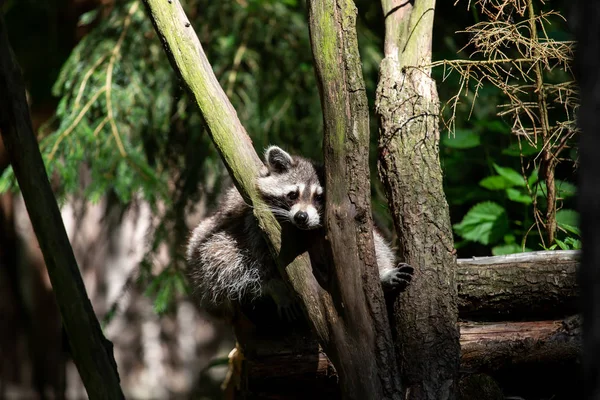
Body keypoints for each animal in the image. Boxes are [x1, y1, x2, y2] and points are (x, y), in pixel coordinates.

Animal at [188, 145, 412, 320]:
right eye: (292, 195)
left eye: (319, 198)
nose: (301, 217)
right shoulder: (254, 221)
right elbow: (246, 257)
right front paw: (274, 285)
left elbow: (374, 246)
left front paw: (383, 274)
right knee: (218, 255)